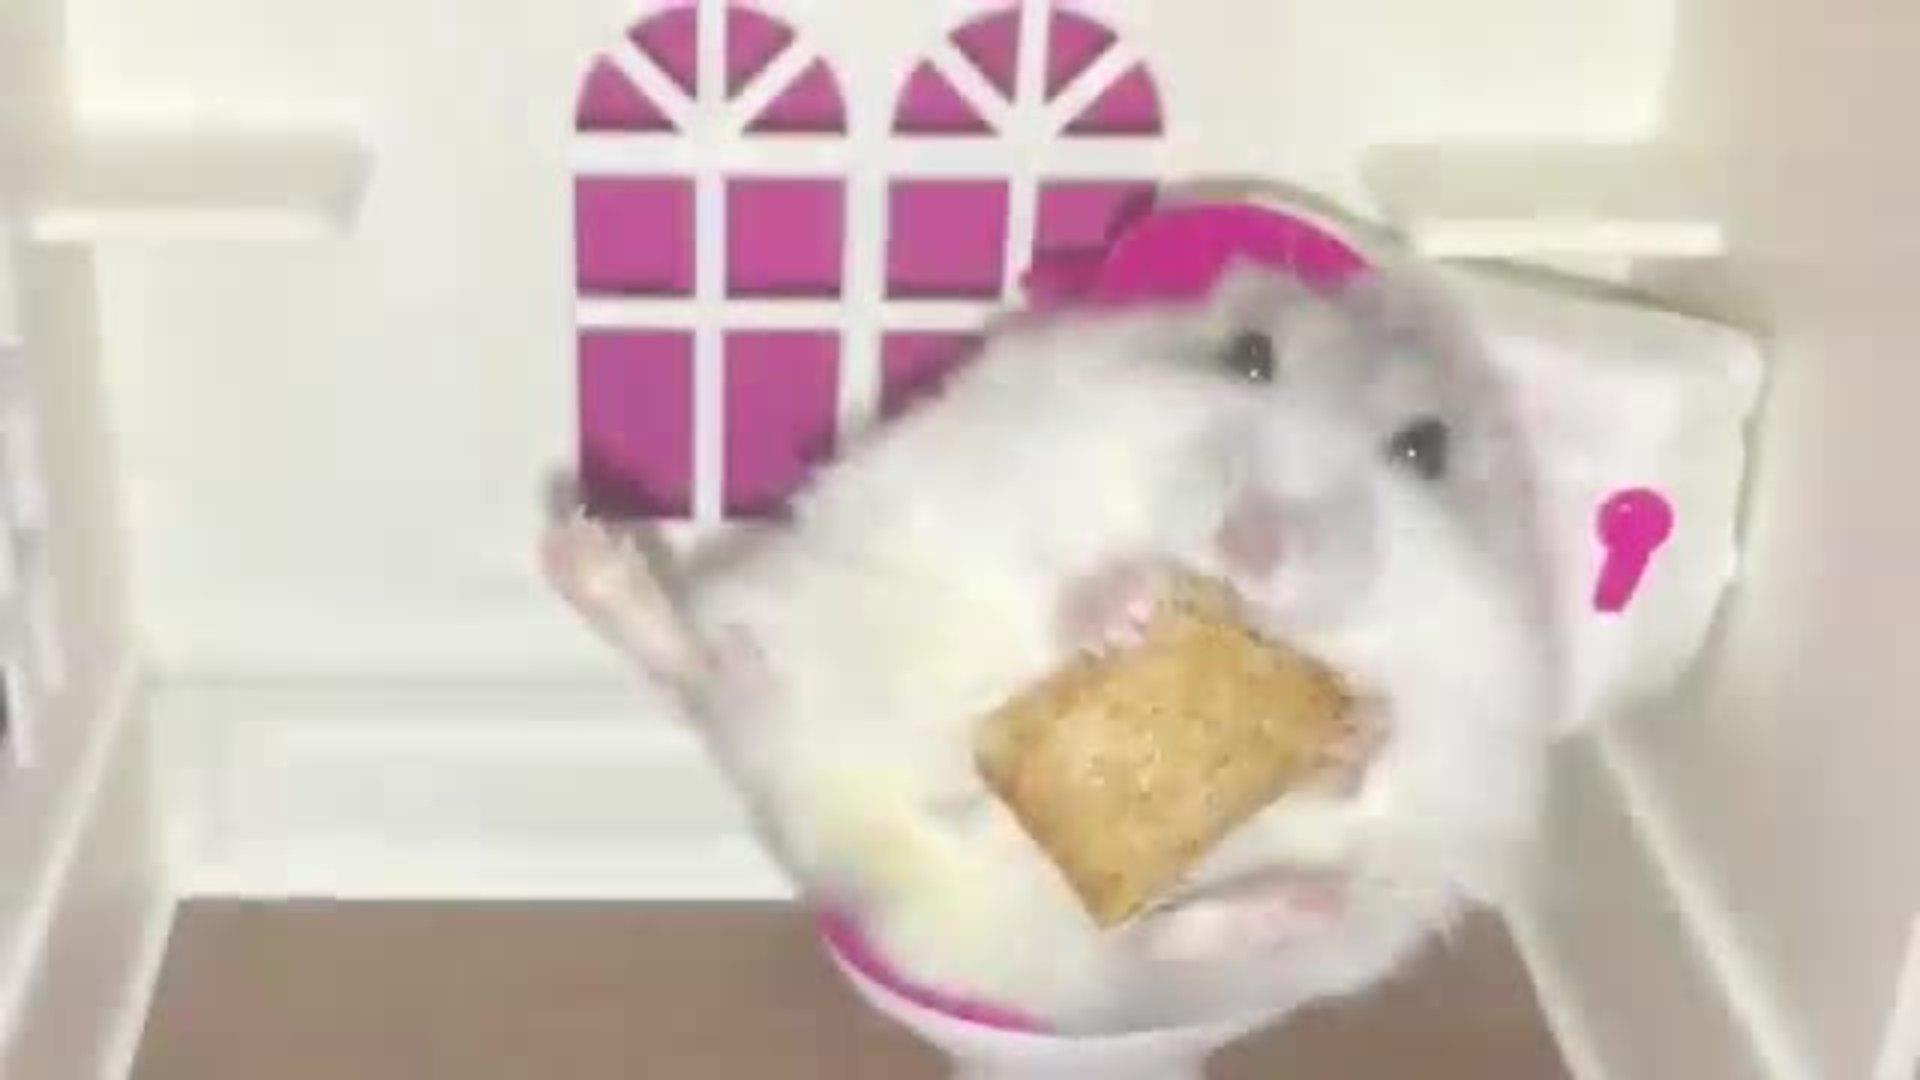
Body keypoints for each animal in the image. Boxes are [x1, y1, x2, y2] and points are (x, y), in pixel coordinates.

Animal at [543, 262, 1556, 1033]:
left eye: (1425, 450)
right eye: (1250, 357)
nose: (1248, 547)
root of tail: (862, 866)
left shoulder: (1469, 728)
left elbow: (1372, 760)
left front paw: (1356, 728)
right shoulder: (1015, 483)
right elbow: (1053, 579)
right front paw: (1126, 608)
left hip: (1223, 954)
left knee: (1144, 940)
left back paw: (1291, 905)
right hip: (794, 617)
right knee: (712, 676)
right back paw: (590, 557)